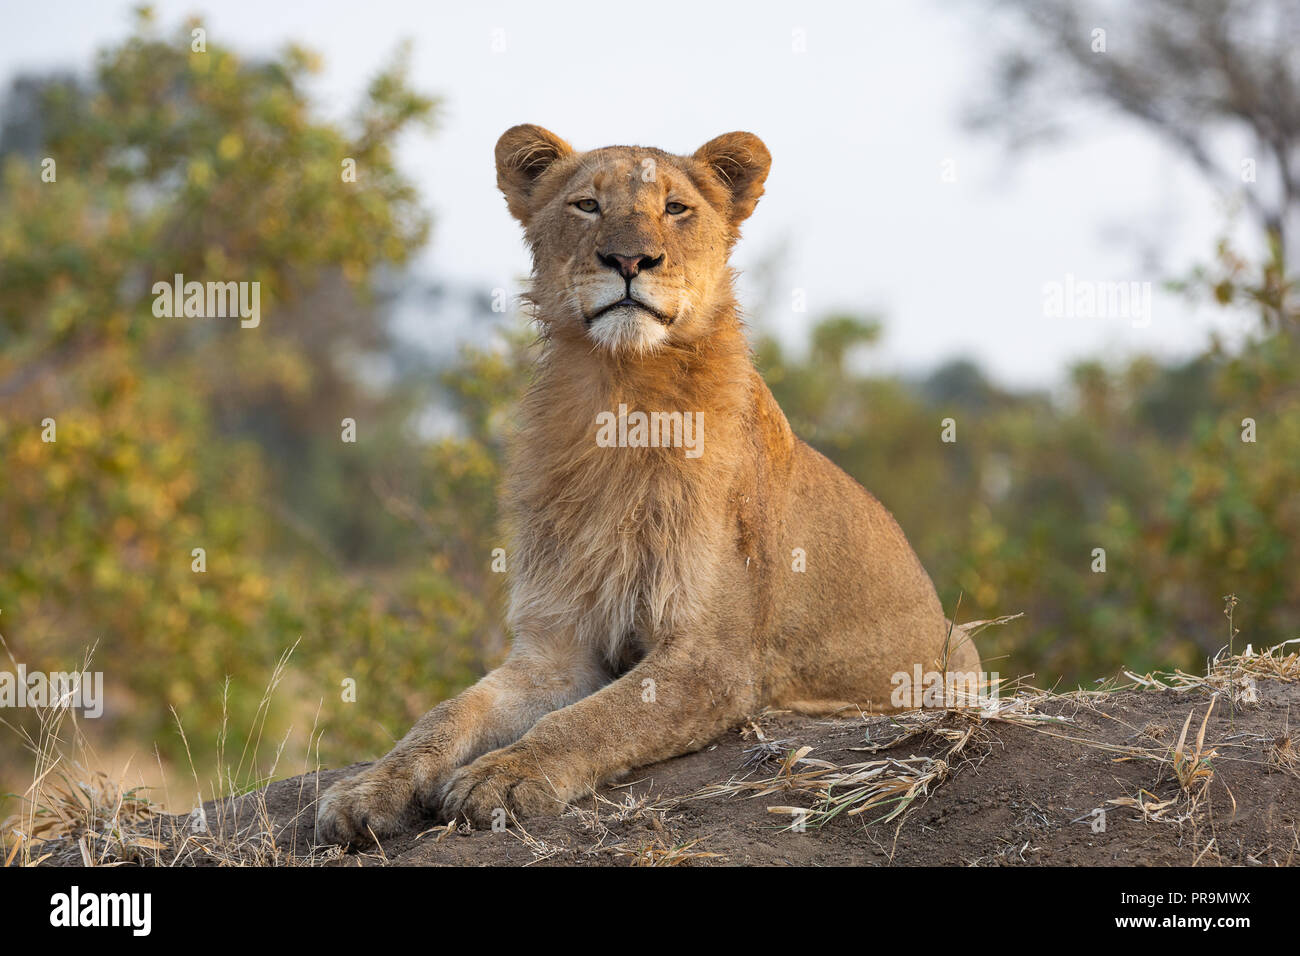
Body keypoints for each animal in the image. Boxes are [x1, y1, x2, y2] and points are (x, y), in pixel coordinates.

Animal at [314, 125, 977, 842]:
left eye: (676, 208)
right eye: (586, 205)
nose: (629, 260)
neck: (622, 394)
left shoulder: (711, 660)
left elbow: (592, 719)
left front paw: (505, 777)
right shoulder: (557, 645)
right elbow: (447, 713)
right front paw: (367, 788)